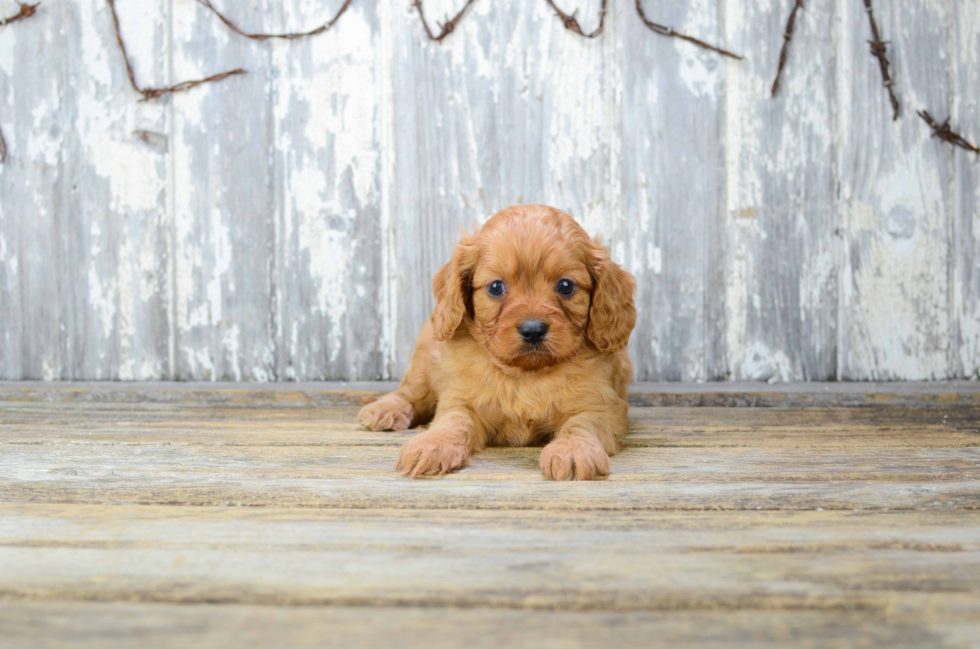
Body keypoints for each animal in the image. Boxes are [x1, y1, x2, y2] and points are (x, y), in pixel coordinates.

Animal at [360, 205, 636, 478]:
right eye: (495, 287)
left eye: (566, 285)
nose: (533, 330)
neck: (526, 374)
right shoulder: (461, 400)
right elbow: (453, 421)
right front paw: (432, 444)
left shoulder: (600, 405)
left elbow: (583, 424)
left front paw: (573, 449)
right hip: (423, 366)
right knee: (410, 393)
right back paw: (384, 410)